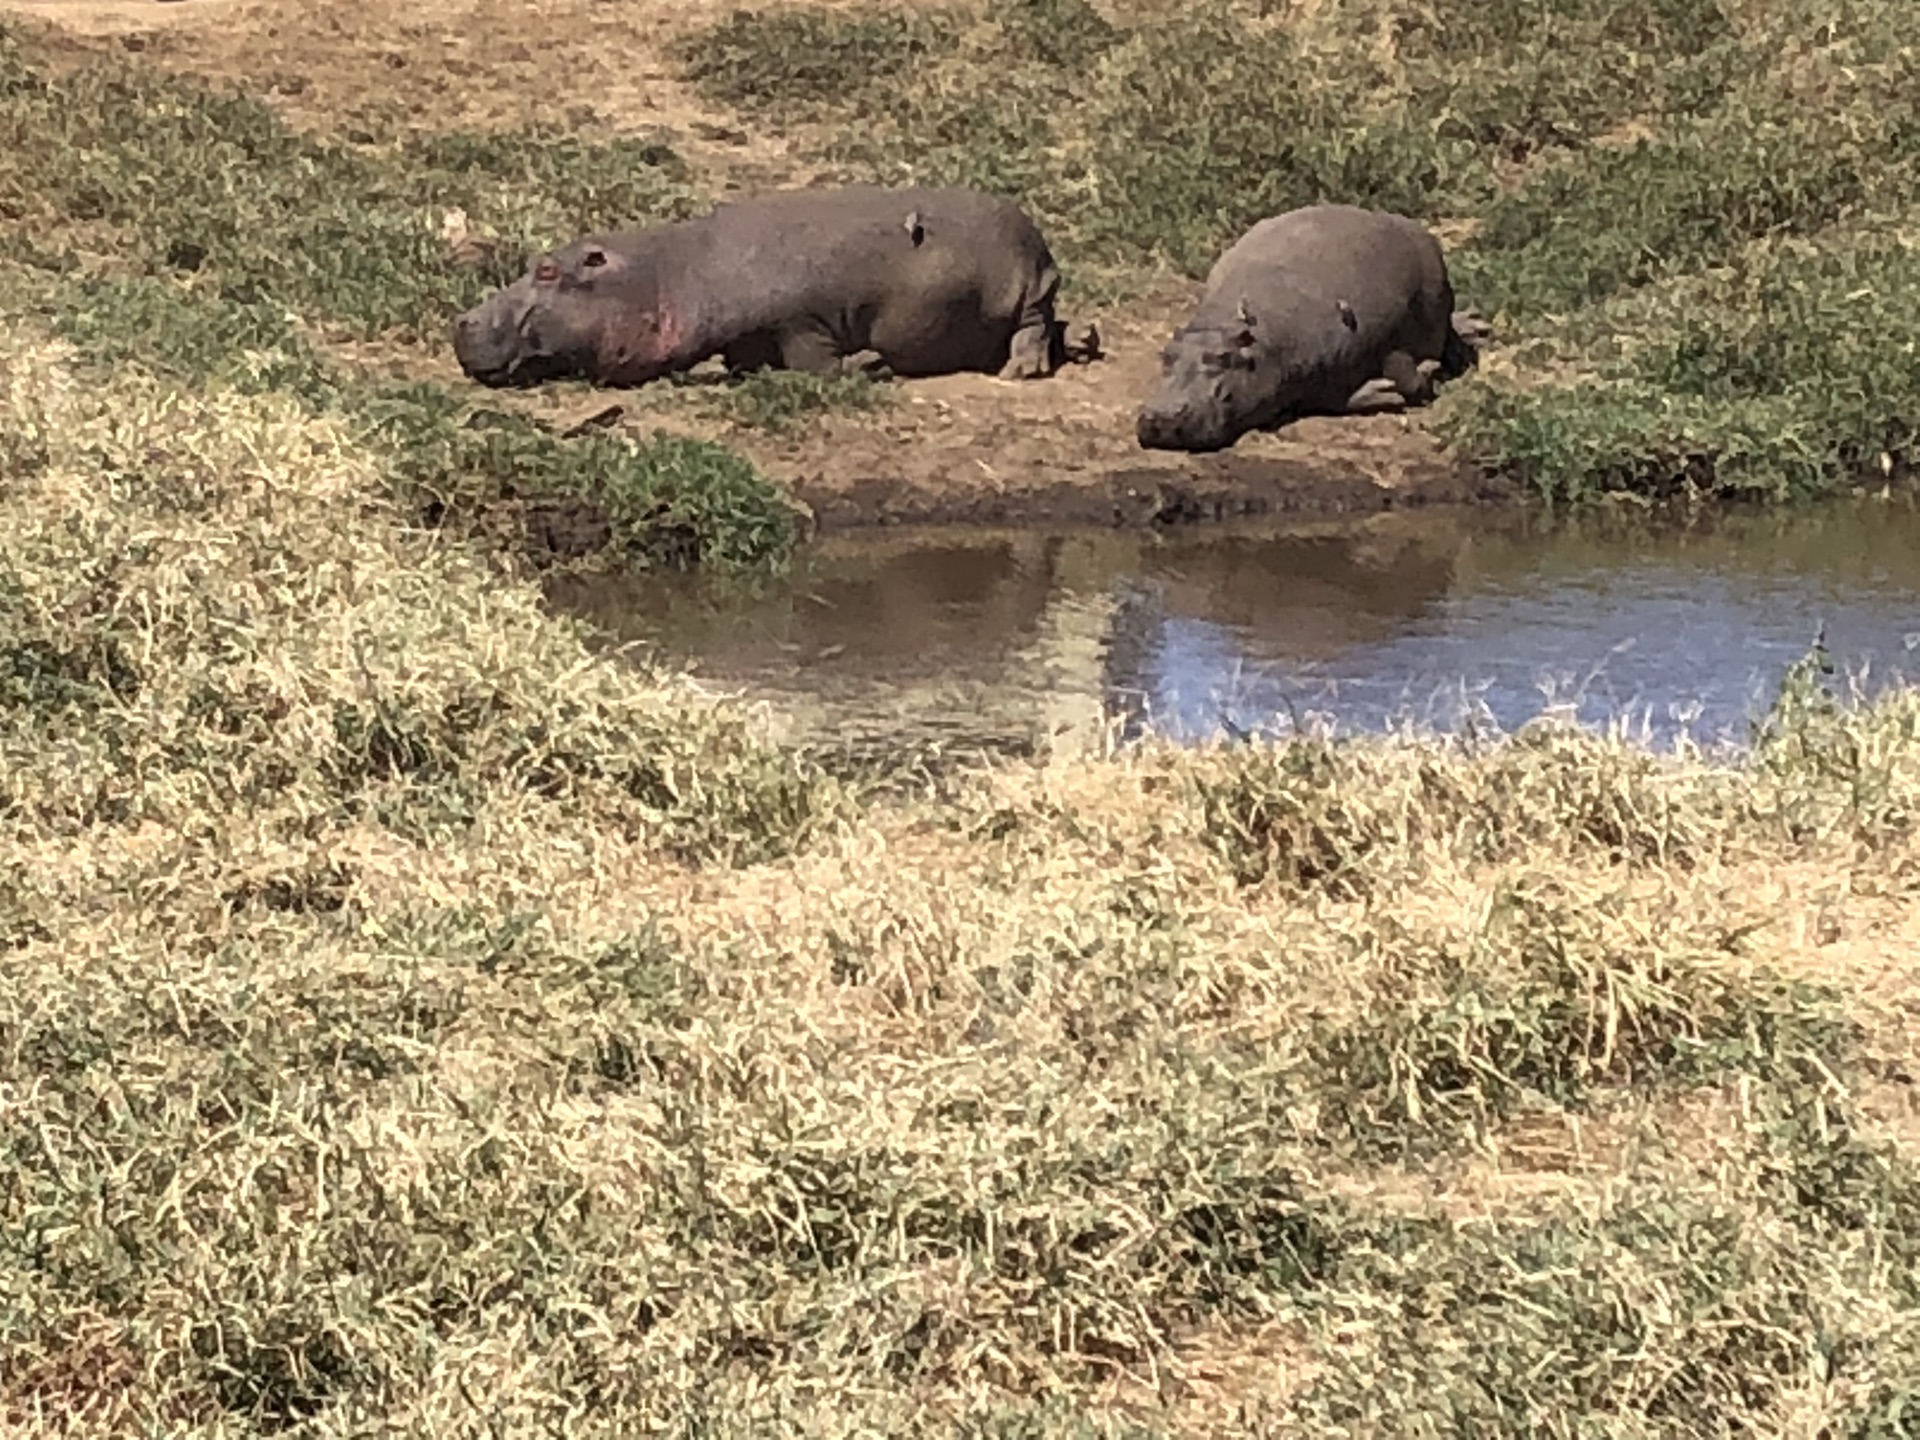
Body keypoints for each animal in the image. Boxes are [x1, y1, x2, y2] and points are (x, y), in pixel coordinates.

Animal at [441, 184, 1090, 389]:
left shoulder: (806, 319)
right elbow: (746, 355)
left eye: (549, 270)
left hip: (1025, 286)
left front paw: (861, 368)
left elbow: (812, 357)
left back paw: (1018, 373)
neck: (666, 272)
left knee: (1033, 325)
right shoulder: (748, 330)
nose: (461, 320)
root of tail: (1042, 244)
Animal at [1128, 205, 1489, 453]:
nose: (1162, 418)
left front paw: (1419, 372)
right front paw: (1380, 389)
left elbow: (1407, 374)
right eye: (1166, 354)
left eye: (1224, 358)